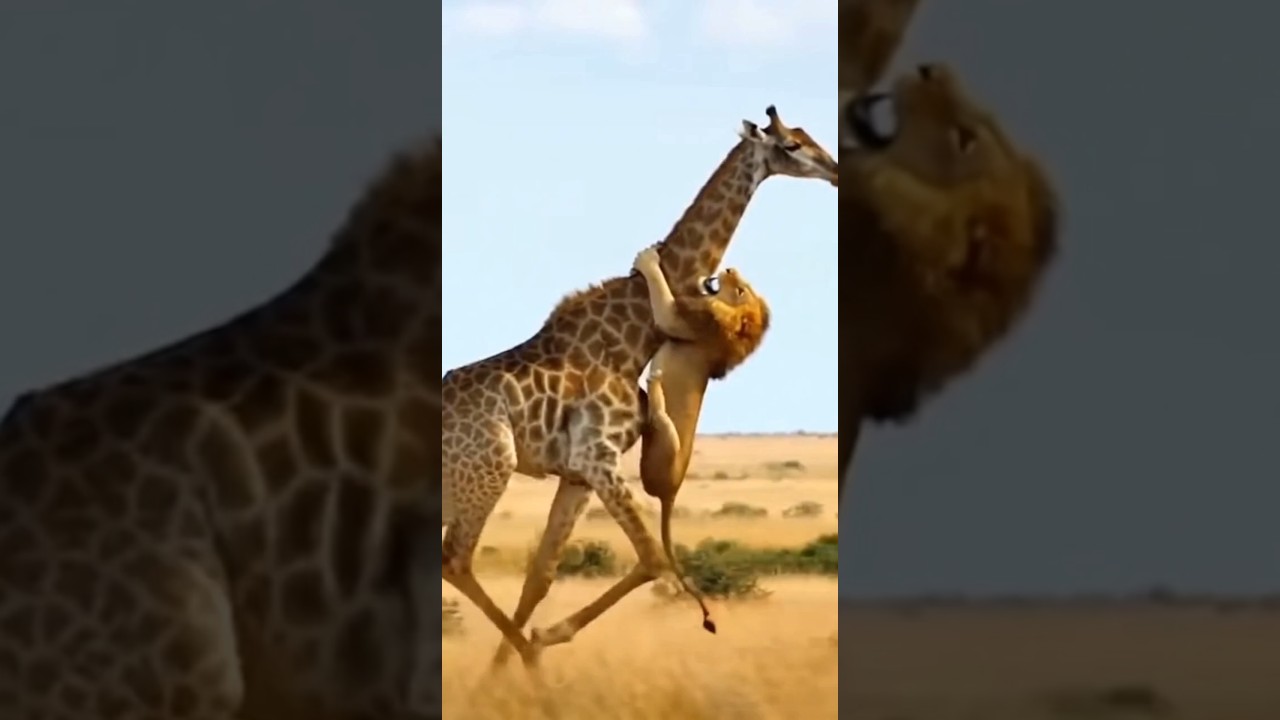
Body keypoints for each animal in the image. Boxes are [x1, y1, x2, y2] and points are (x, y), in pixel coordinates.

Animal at [630, 243, 771, 628]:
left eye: (741, 290)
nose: (730, 269)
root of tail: (672, 493)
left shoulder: (682, 320)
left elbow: (663, 305)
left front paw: (648, 260)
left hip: (667, 445)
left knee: (660, 419)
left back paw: (654, 386)